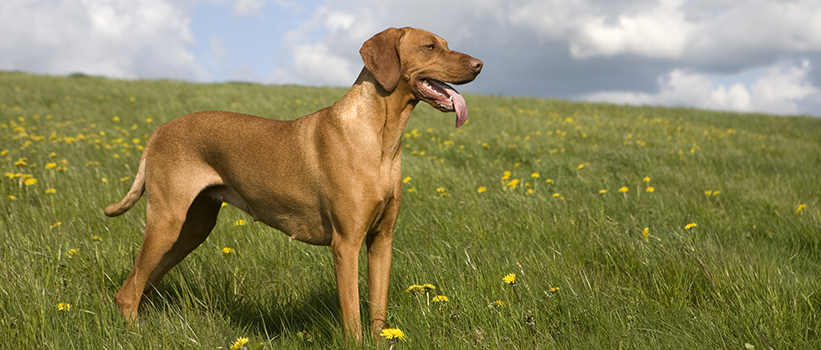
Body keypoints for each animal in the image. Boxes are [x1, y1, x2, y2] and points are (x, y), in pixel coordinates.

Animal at [106, 27, 484, 340]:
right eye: (430, 46)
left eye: (446, 43)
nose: (480, 64)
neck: (380, 139)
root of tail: (159, 129)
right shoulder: (346, 244)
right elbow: (353, 317)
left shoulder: (382, 240)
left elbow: (377, 311)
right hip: (167, 221)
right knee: (128, 291)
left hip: (192, 228)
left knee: (143, 283)